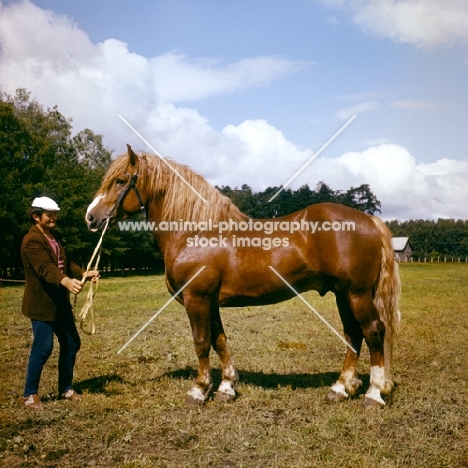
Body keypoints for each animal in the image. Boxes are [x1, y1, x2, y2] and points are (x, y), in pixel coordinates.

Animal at [86, 144, 400, 408]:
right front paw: (226, 387)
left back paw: (374, 394)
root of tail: (368, 219)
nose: (90, 217)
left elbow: (201, 343)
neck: (196, 232)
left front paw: (199, 390)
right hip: (342, 294)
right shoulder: (210, 302)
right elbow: (220, 341)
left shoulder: (197, 299)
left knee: (373, 331)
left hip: (356, 293)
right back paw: (341, 388)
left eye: (121, 180)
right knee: (353, 334)